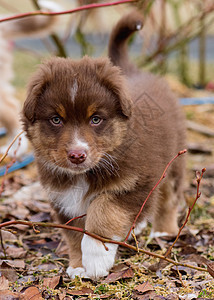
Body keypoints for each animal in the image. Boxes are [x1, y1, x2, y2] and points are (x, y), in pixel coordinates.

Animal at [22, 11, 186, 278]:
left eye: (96, 119)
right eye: (56, 120)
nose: (77, 155)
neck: (85, 173)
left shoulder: (137, 181)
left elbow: (104, 209)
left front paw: (98, 257)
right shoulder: (63, 198)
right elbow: (74, 233)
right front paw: (78, 266)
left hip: (174, 162)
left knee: (169, 197)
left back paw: (164, 231)